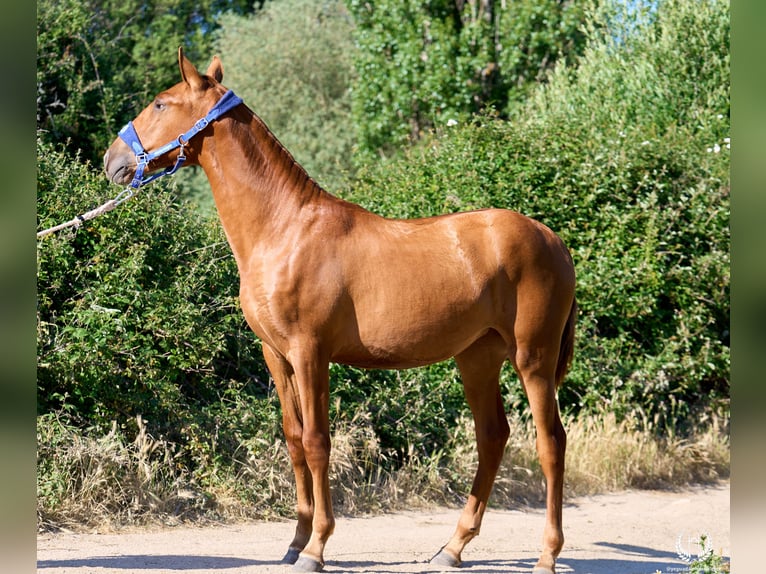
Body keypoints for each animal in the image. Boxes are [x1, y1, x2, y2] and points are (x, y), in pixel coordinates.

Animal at [104, 48, 576, 574]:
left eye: (161, 104)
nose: (112, 160)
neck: (284, 228)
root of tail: (553, 240)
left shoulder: (311, 353)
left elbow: (317, 442)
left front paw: (317, 547)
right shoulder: (277, 356)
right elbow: (293, 440)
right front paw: (295, 541)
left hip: (532, 358)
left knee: (550, 442)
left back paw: (547, 555)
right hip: (477, 357)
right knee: (492, 436)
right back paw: (452, 548)